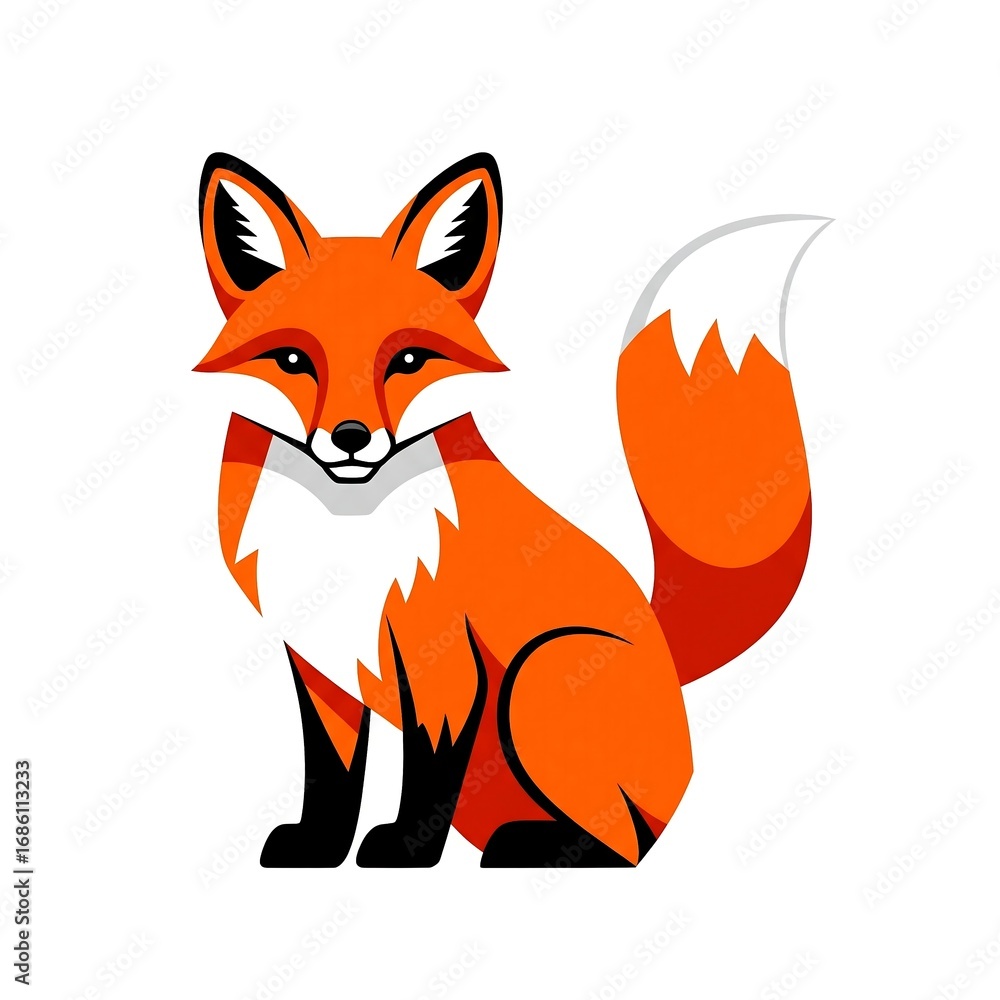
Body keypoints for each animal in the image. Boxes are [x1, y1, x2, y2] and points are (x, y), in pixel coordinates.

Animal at [194, 150, 829, 867]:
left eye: (407, 359)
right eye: (294, 359)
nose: (351, 438)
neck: (349, 530)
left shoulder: (443, 657)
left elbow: (429, 767)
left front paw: (407, 849)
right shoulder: (318, 659)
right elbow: (332, 769)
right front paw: (319, 846)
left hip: (540, 672)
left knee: (630, 841)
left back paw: (539, 845)